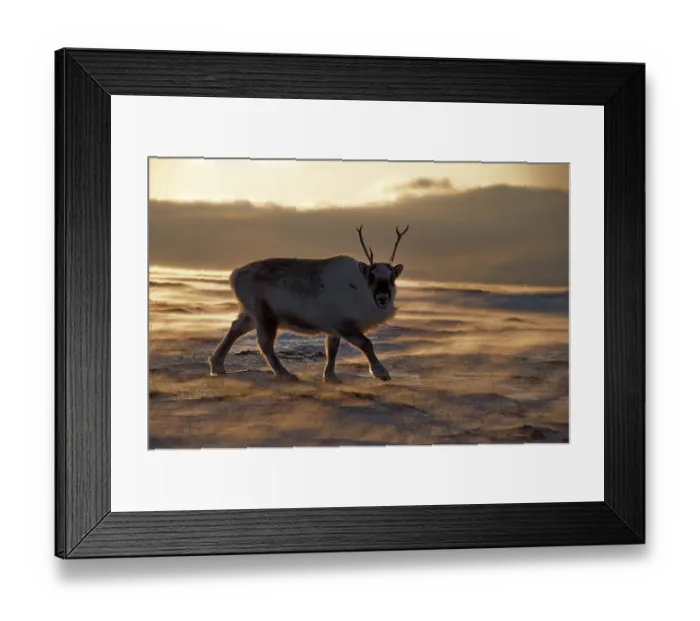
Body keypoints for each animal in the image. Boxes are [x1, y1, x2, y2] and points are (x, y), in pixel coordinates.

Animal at [208, 225, 410, 383]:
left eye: (391, 278)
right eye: (371, 276)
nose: (382, 298)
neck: (358, 289)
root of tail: (235, 274)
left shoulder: (333, 328)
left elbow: (331, 350)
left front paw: (331, 377)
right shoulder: (344, 325)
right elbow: (366, 344)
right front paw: (381, 372)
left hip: (251, 314)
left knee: (235, 328)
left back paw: (217, 365)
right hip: (264, 314)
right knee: (264, 343)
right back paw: (286, 374)